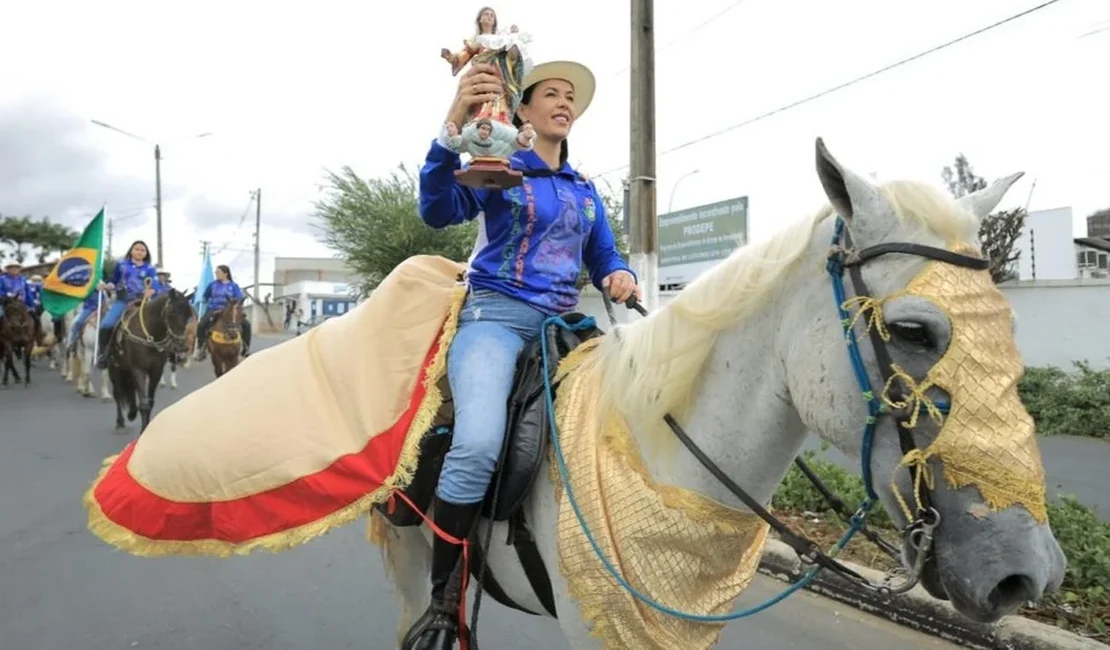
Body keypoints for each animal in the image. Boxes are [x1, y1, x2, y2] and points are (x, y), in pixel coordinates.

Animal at [104, 283, 194, 430]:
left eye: (189, 315)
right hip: (115, 368)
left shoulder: (156, 371)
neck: (150, 335)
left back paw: (132, 413)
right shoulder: (138, 369)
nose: (181, 347)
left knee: (130, 388)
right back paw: (120, 421)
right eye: (172, 313)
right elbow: (144, 404)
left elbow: (150, 402)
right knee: (117, 393)